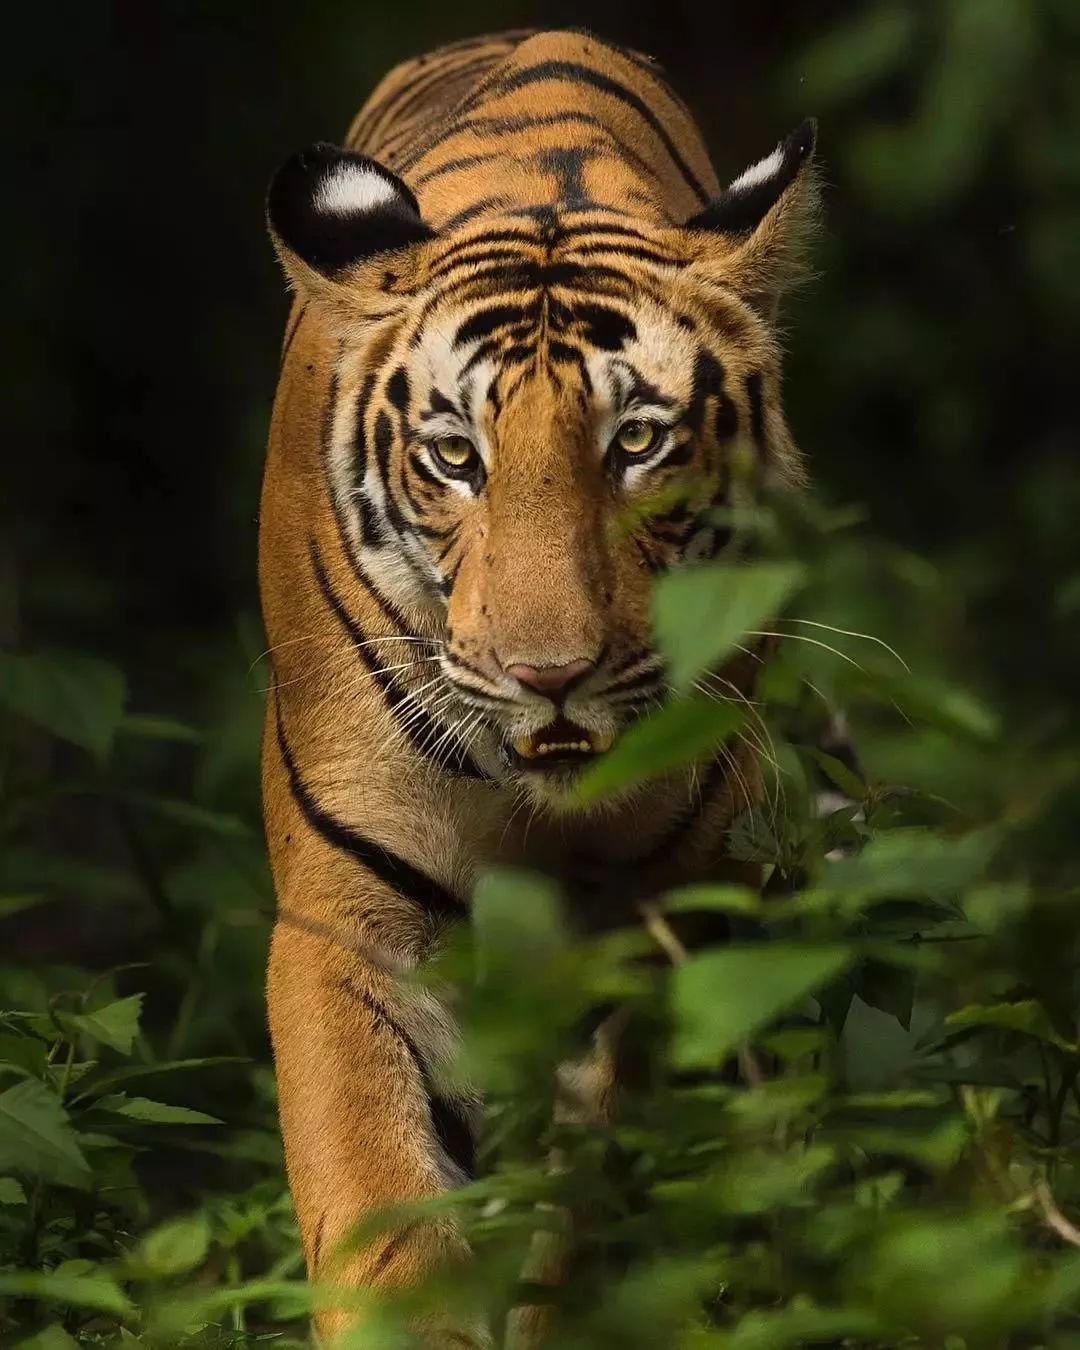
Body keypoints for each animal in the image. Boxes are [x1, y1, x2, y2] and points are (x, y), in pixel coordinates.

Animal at [260, 27, 818, 1346]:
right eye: (454, 456)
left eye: (638, 445)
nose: (548, 674)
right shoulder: (345, 921)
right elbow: (377, 1204)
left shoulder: (674, 917)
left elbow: (593, 1198)